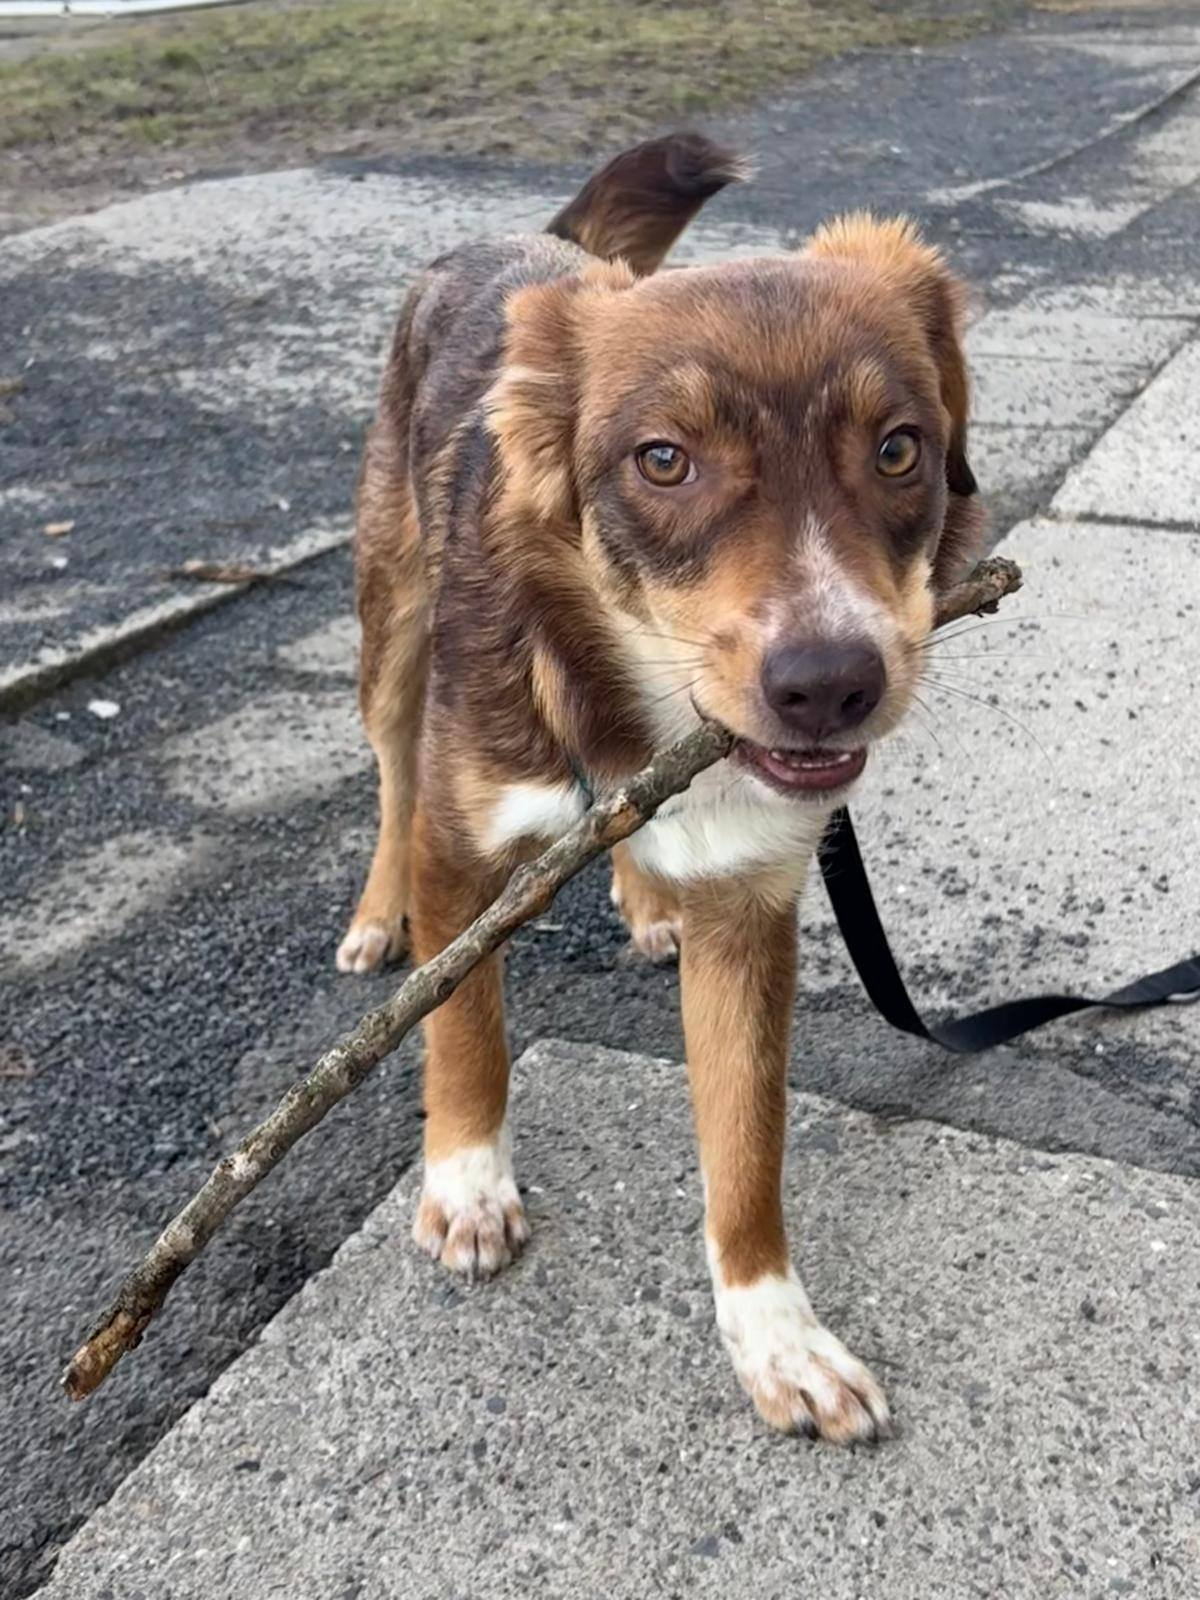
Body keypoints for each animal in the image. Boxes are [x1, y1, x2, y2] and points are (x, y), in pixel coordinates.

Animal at [336, 134, 984, 1443]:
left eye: (898, 447)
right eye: (665, 460)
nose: (829, 686)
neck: (640, 695)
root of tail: (522, 243)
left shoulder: (751, 901)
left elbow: (746, 1146)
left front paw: (774, 1332)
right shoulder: (463, 840)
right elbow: (465, 1027)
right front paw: (466, 1181)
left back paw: (642, 896)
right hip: (393, 622)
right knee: (386, 773)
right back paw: (380, 918)